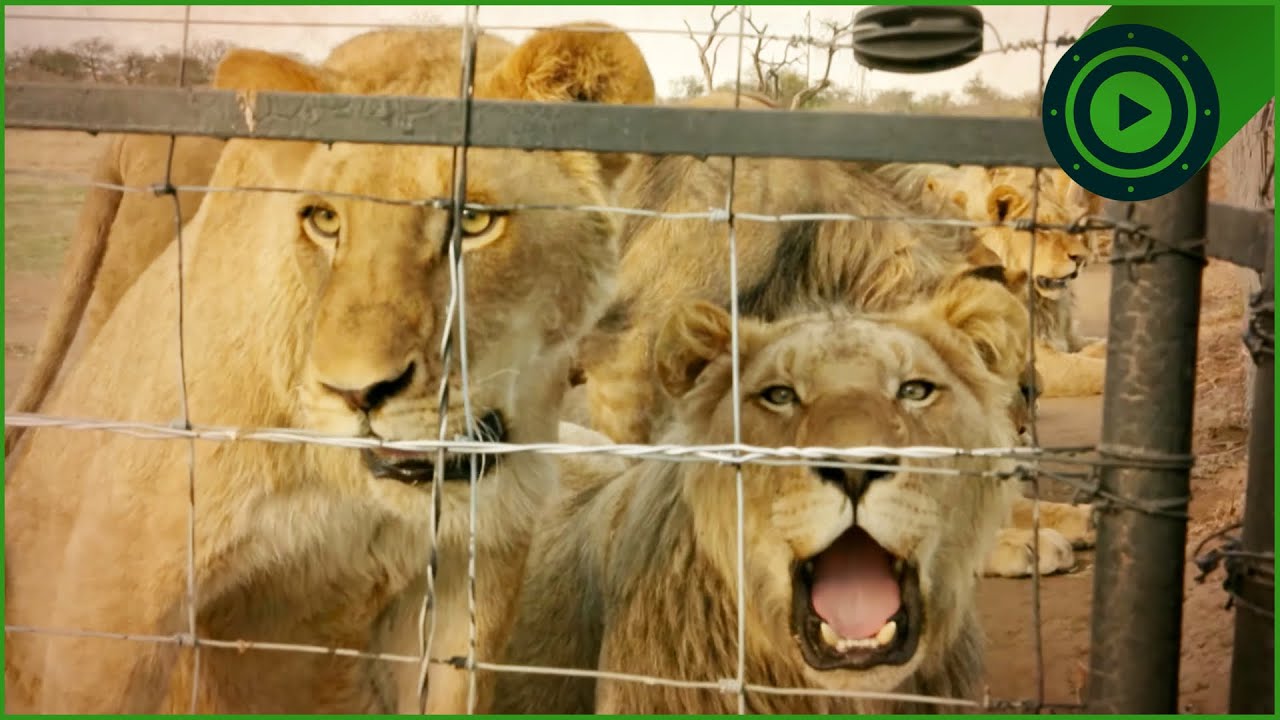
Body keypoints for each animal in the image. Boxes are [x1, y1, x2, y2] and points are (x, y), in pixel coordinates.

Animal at [4, 22, 654, 713]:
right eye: (324, 219)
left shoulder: (477, 561)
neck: (356, 489)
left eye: (474, 221)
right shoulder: (119, 579)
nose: (360, 393)